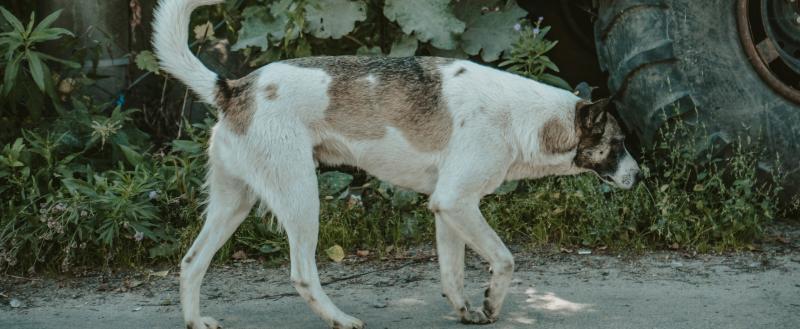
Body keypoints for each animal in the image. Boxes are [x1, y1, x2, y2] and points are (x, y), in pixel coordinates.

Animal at [153, 1, 640, 326]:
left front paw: (466, 310)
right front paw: (492, 303)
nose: (640, 176)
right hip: (301, 198)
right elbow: (504, 259)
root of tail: (235, 87)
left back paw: (196, 321)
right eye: (617, 143)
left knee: (191, 262)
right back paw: (339, 318)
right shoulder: (458, 203)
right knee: (302, 274)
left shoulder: (449, 209)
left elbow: (452, 273)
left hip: (233, 204)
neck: (524, 117)